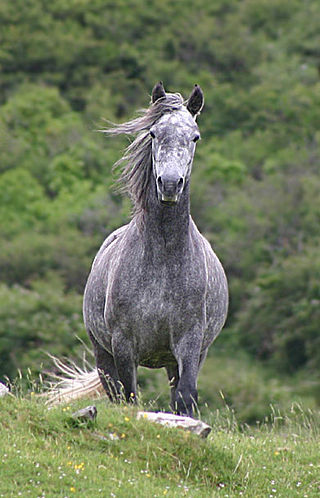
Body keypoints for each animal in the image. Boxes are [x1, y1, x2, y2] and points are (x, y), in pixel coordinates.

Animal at [80, 82, 228, 416]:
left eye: (195, 136)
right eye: (153, 134)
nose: (170, 184)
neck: (162, 260)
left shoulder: (189, 342)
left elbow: (185, 397)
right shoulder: (124, 345)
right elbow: (129, 396)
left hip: (178, 359)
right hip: (103, 354)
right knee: (115, 392)